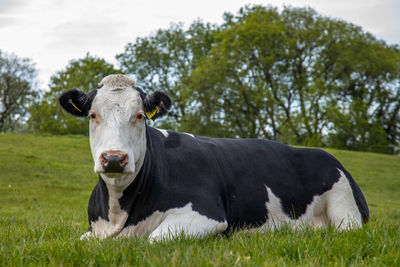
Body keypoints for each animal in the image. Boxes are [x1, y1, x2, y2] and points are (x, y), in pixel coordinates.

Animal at [58, 74, 368, 242]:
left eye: (139, 116)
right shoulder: (92, 231)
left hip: (345, 209)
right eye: (93, 115)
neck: (119, 214)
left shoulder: (206, 213)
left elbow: (153, 239)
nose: (114, 158)